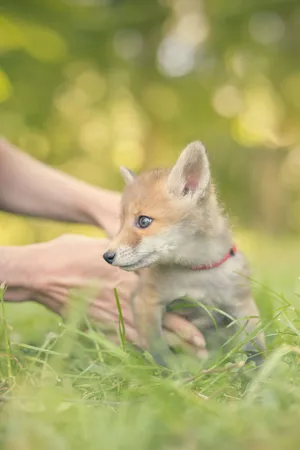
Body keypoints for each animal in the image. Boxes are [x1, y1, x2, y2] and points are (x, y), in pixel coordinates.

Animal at [102, 142, 264, 368]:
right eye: (121, 223)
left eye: (143, 221)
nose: (107, 256)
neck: (196, 272)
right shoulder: (146, 300)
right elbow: (158, 350)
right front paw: (171, 373)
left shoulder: (242, 304)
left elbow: (256, 348)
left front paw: (261, 373)